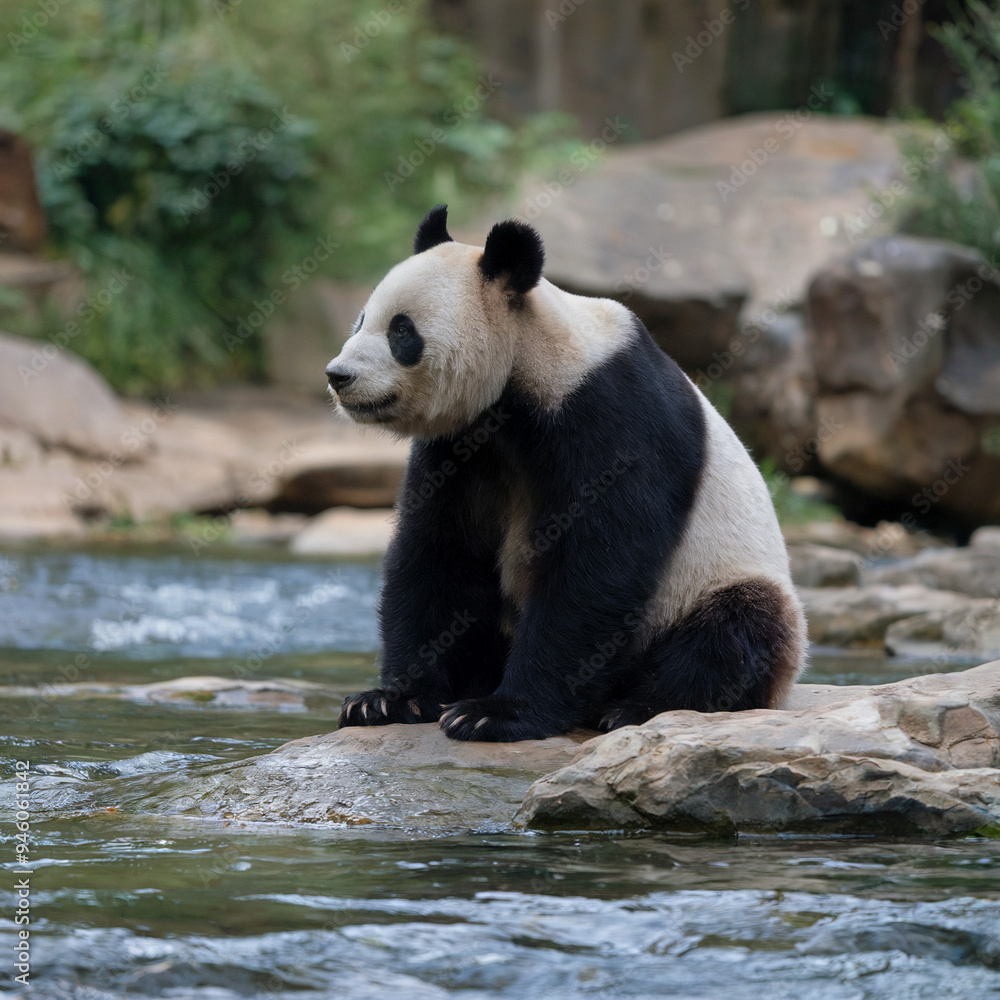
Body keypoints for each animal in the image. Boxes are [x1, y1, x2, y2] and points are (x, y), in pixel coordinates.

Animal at [329, 205, 807, 742]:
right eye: (361, 320)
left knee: (734, 630)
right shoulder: (462, 445)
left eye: (401, 332)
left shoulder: (614, 415)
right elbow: (439, 549)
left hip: (717, 584)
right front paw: (390, 700)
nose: (338, 375)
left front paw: (495, 712)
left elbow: (599, 563)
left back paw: (636, 706)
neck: (528, 366)